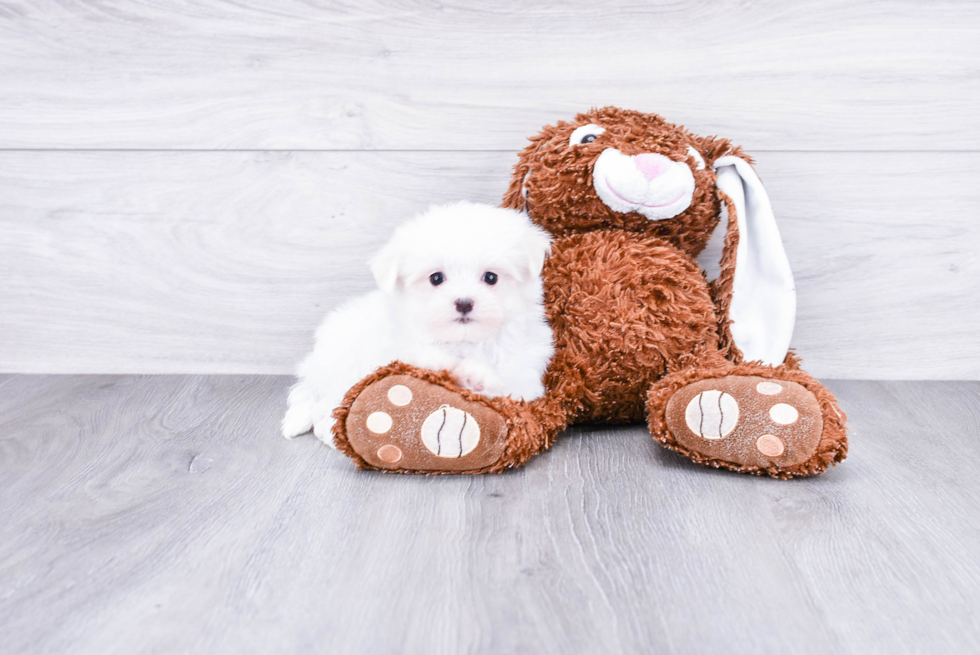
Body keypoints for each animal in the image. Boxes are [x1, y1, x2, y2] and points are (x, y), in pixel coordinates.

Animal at [280, 200, 556, 446]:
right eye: (436, 278)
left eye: (491, 277)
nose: (464, 303)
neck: (463, 341)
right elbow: (416, 358)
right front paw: (443, 365)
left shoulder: (525, 377)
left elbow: (506, 385)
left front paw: (474, 377)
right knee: (326, 404)